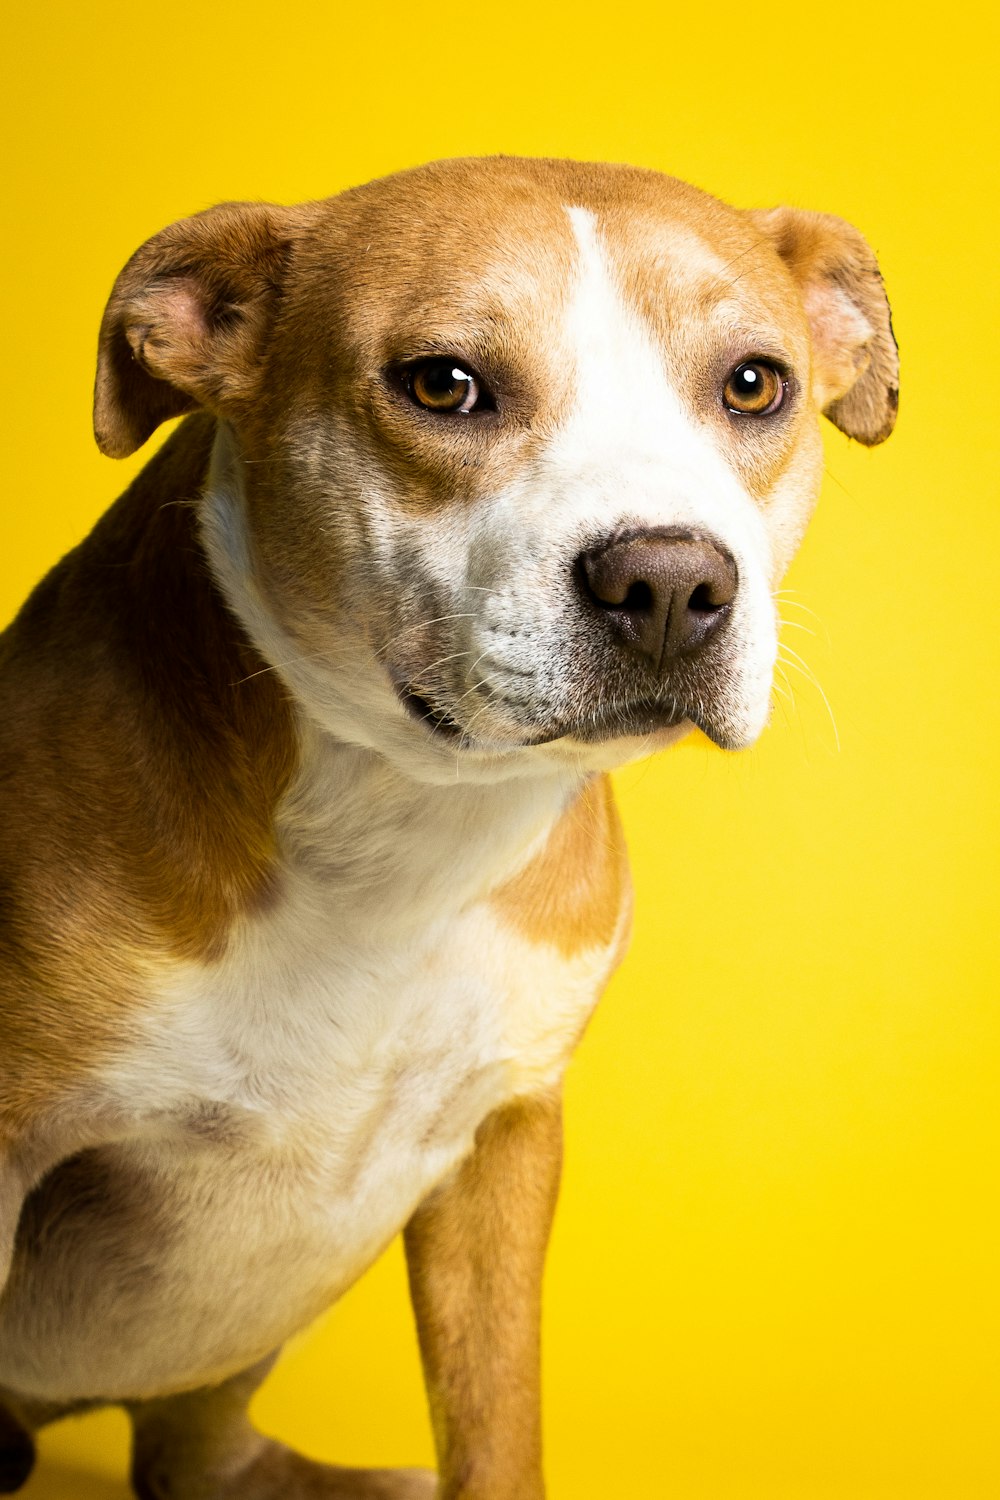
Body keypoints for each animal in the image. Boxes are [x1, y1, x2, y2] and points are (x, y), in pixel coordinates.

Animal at [0, 158, 893, 1494]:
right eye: (445, 384)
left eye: (752, 383)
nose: (669, 581)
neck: (406, 817)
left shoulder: (506, 1142)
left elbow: (494, 1423)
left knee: (190, 1452)